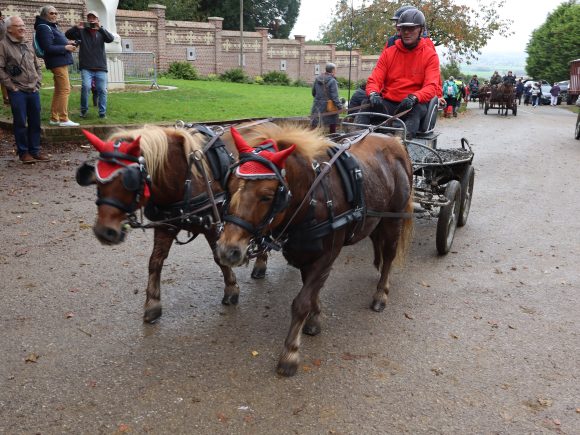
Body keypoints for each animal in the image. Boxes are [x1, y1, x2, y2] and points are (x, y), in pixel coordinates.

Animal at [75, 124, 268, 322]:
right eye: (97, 180)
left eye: (128, 180)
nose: (103, 232)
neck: (185, 177)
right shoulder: (165, 225)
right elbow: (155, 261)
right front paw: (153, 302)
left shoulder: (213, 226)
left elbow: (219, 257)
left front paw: (231, 288)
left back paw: (260, 263)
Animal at [216, 123, 412, 378]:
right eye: (230, 187)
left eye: (266, 196)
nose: (227, 250)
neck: (313, 199)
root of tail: (394, 141)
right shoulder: (304, 253)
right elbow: (312, 290)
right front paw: (315, 318)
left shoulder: (326, 255)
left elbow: (302, 301)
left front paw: (290, 353)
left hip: (393, 218)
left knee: (389, 255)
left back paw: (381, 292)